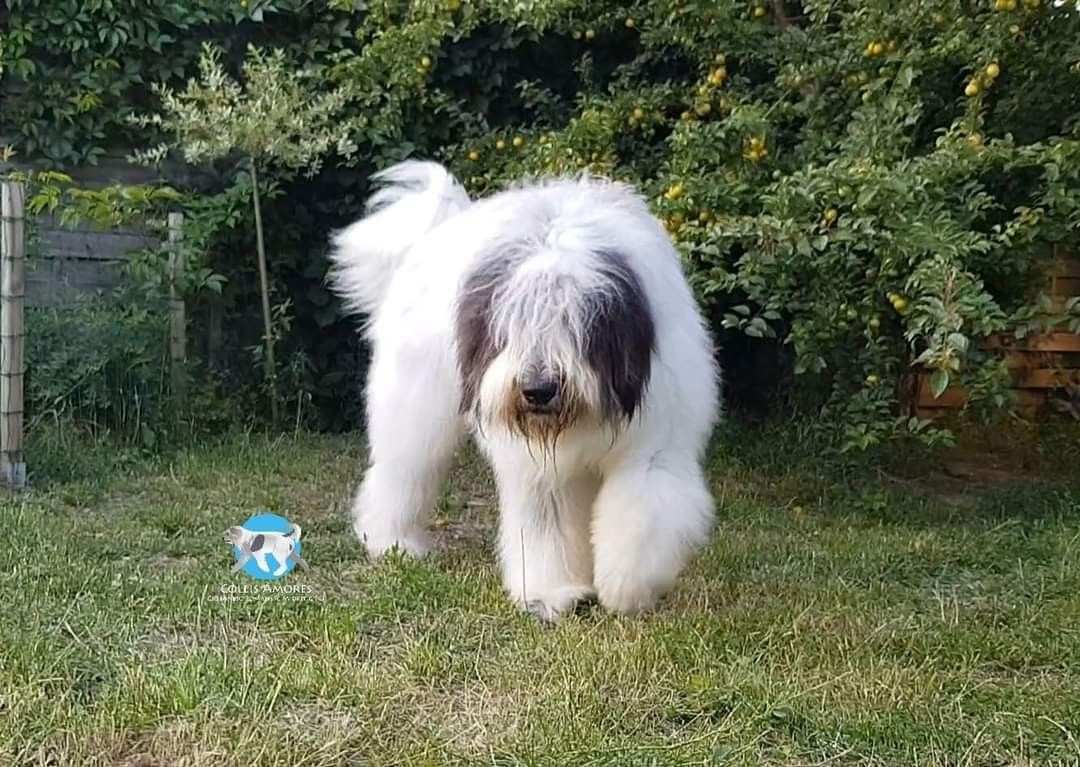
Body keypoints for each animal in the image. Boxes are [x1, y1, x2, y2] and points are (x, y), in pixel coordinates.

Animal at [330, 161, 719, 620]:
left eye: (574, 324)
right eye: (509, 327)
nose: (538, 390)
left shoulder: (654, 443)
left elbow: (641, 512)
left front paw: (626, 589)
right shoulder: (538, 470)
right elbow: (545, 525)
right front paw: (549, 593)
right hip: (414, 406)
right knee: (403, 471)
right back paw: (393, 542)